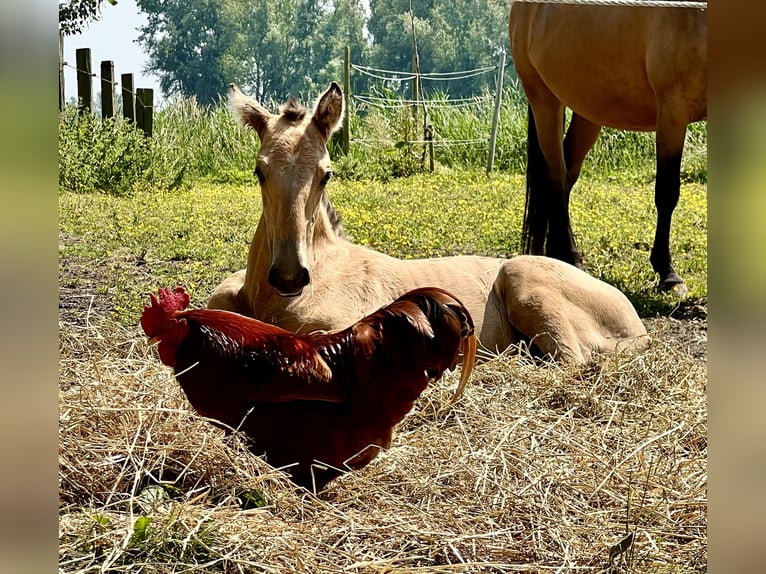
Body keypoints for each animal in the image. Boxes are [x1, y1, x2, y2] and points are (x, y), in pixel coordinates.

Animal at [207, 82, 652, 364]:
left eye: (326, 174)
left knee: (571, 361)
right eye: (259, 171)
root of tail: (637, 325)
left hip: (527, 283)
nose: (288, 276)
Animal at [510, 0, 708, 296]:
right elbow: (667, 193)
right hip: (544, 101)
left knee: (565, 177)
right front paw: (668, 274)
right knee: (556, 177)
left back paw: (558, 256)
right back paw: (571, 257)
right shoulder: (672, 112)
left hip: (588, 113)